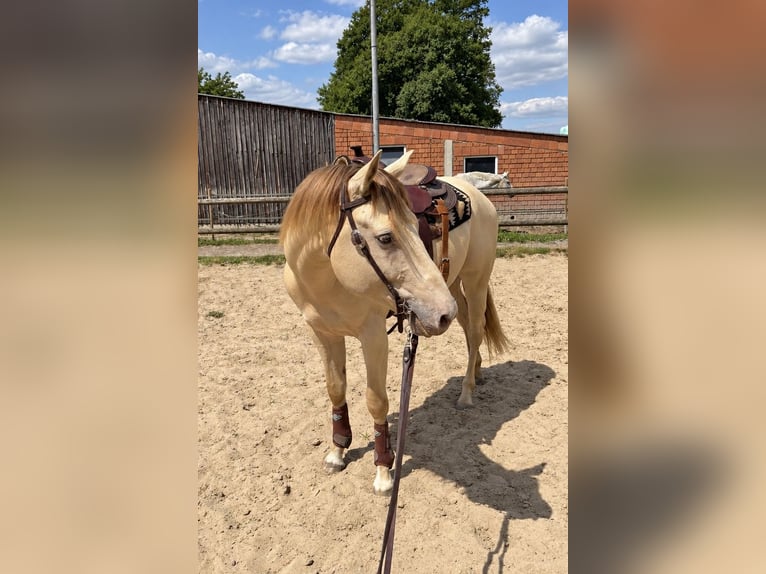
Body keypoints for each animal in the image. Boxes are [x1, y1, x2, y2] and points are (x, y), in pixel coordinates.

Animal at [279, 150, 509, 494]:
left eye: (416, 225)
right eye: (386, 238)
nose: (441, 313)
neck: (327, 277)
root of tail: (479, 196)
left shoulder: (374, 336)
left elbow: (377, 401)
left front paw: (384, 471)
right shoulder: (322, 333)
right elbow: (335, 390)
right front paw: (337, 451)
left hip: (475, 281)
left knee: (476, 329)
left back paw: (466, 392)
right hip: (454, 286)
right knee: (469, 329)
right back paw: (477, 371)